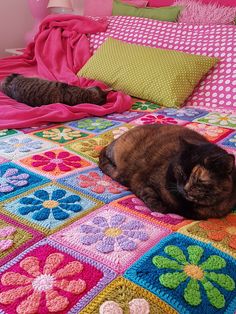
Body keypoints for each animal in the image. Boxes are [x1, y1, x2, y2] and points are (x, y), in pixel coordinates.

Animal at [98, 124, 235, 220]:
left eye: (200, 180)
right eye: (181, 173)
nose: (185, 189)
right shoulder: (139, 180)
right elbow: (154, 201)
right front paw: (163, 207)